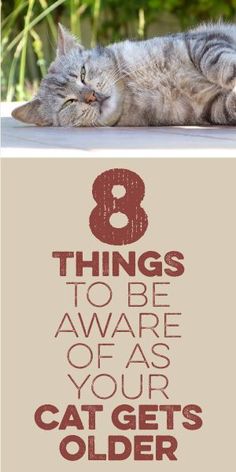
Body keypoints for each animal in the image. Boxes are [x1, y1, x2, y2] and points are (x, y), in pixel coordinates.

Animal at [12, 21, 235, 126]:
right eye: (68, 102)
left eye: (83, 73)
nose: (91, 96)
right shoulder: (208, 109)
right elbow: (228, 106)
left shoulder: (202, 42)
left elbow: (219, 64)